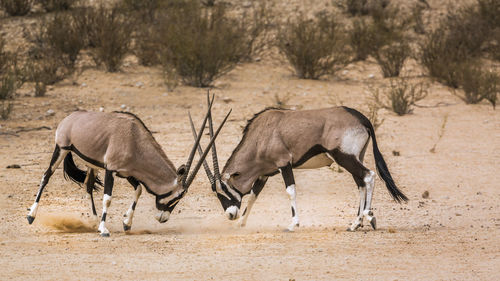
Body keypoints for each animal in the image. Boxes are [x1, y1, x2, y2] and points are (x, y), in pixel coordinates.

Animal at [27, 97, 230, 235]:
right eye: (177, 196)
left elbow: (139, 190)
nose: (162, 219)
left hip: (92, 164)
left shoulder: (128, 173)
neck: (135, 140)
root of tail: (69, 118)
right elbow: (108, 198)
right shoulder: (111, 170)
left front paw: (126, 223)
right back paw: (31, 215)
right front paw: (104, 229)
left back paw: (93, 220)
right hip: (61, 148)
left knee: (88, 185)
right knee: (46, 176)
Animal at [191, 101, 406, 231]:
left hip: (344, 157)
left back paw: (369, 217)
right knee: (361, 183)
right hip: (354, 158)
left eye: (223, 189)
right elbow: (253, 196)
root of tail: (362, 118)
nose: (230, 215)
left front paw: (292, 224)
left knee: (369, 176)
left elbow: (290, 191)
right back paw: (355, 223)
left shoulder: (284, 164)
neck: (260, 137)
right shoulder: (264, 174)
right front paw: (242, 223)